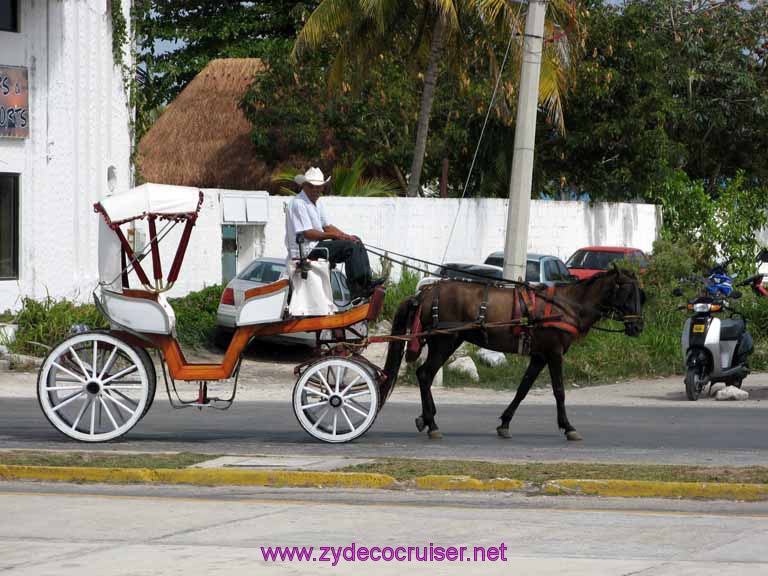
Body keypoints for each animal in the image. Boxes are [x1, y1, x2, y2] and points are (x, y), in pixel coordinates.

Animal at [380, 268, 644, 440]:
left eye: (641, 295)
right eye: (628, 293)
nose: (638, 327)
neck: (566, 306)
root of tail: (425, 293)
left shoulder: (539, 356)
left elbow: (523, 389)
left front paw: (505, 423)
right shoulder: (554, 352)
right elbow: (559, 391)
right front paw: (568, 427)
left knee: (424, 375)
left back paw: (426, 419)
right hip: (445, 341)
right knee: (425, 374)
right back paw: (432, 423)